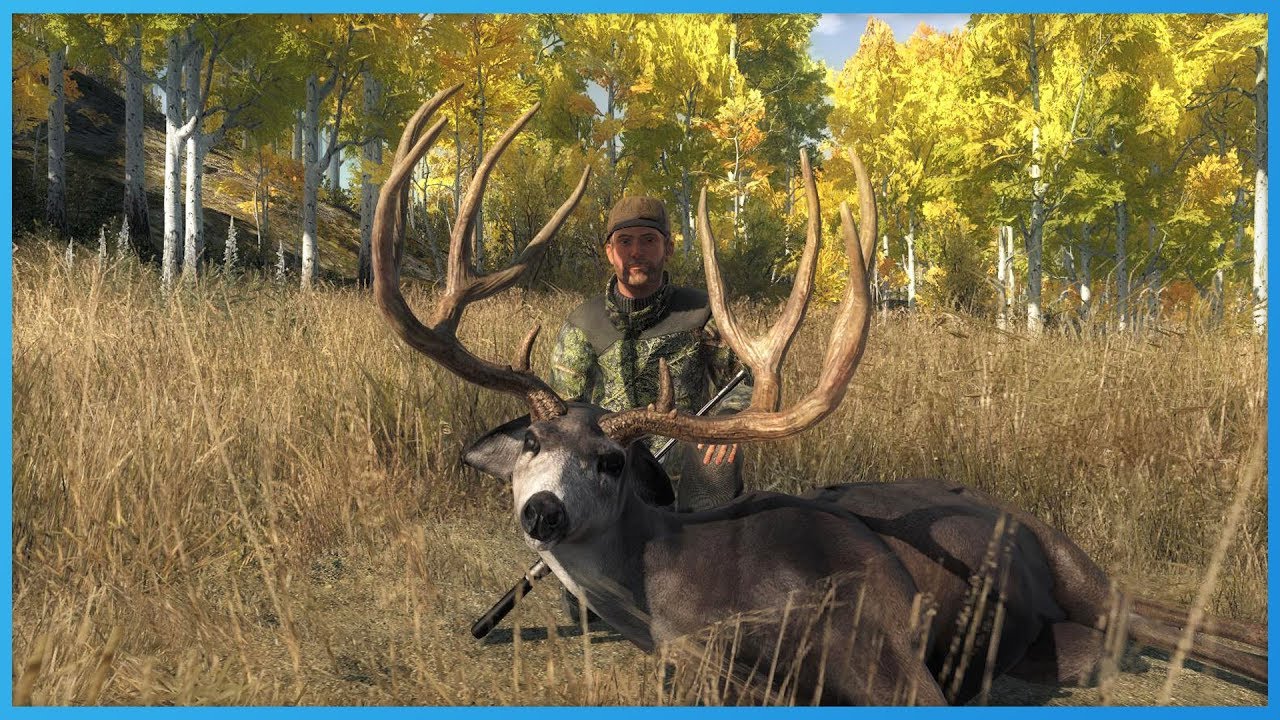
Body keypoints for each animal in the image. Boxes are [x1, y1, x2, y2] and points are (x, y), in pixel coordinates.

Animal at [371, 88, 1268, 705]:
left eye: (610, 462)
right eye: (530, 443)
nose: (542, 511)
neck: (693, 592)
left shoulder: (885, 628)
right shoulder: (695, 666)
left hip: (1072, 561)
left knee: (1184, 615)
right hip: (1071, 635)